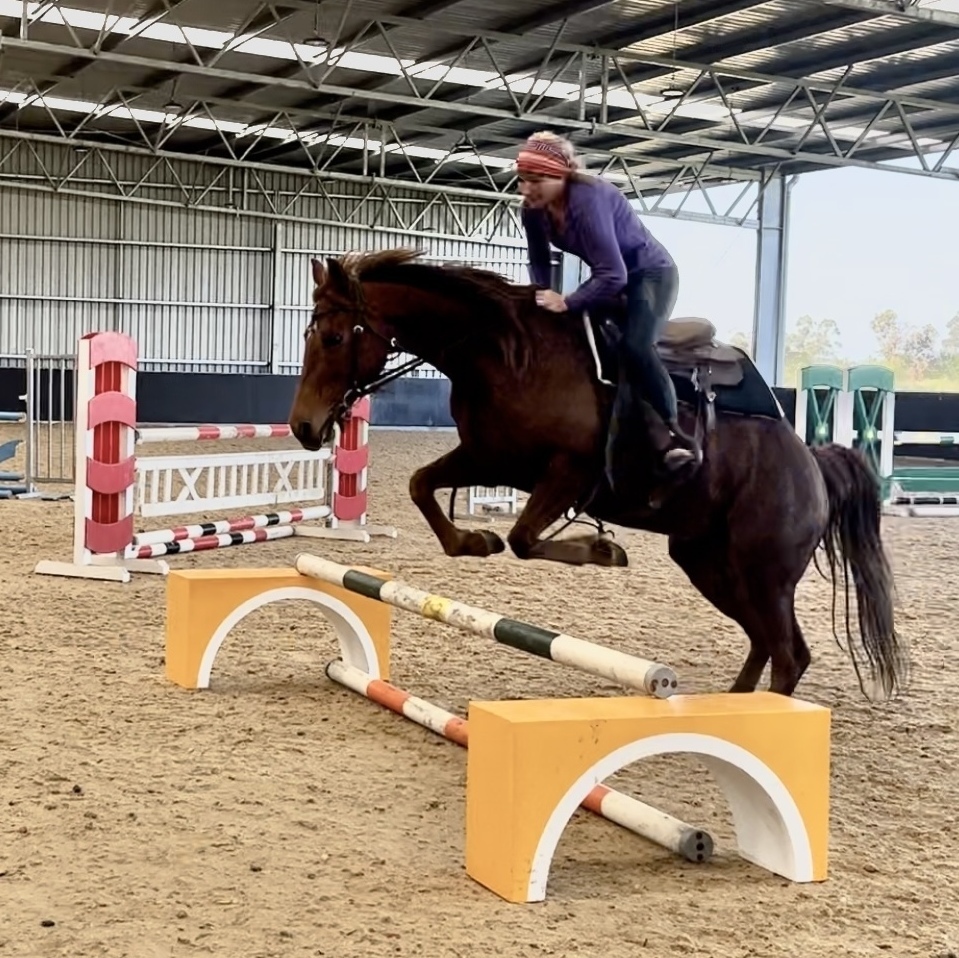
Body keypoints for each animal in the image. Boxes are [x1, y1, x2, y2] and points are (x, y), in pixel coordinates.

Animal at [288, 248, 908, 700]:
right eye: (309, 334)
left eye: (335, 337)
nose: (302, 426)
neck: (506, 353)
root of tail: (811, 463)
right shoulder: (490, 456)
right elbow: (423, 487)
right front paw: (474, 540)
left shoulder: (567, 470)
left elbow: (525, 537)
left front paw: (601, 550)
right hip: (710, 563)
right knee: (765, 643)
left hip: (763, 572)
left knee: (789, 653)